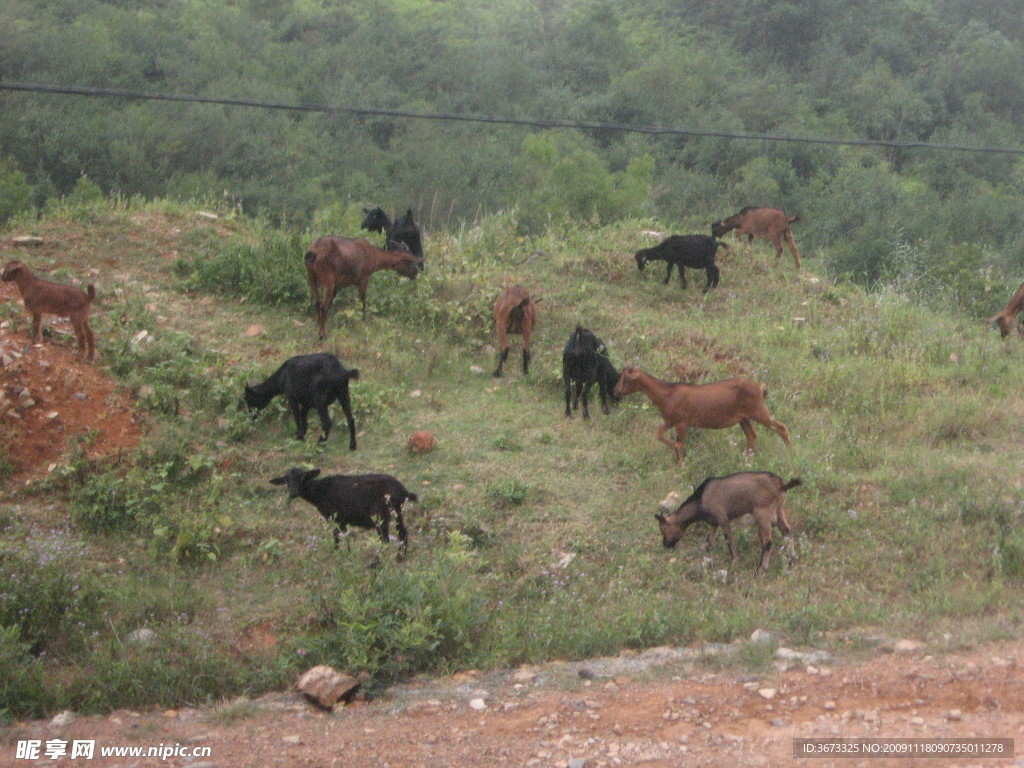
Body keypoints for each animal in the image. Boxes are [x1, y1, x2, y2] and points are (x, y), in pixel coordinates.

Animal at [272, 466, 419, 557]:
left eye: (302, 477)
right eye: (286, 480)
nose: (292, 493)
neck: (319, 491)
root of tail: (403, 491)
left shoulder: (336, 518)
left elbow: (339, 536)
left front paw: (340, 554)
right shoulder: (342, 520)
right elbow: (343, 536)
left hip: (381, 515)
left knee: (385, 540)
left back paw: (377, 564)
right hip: (396, 512)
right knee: (403, 532)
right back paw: (400, 557)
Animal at [606, 364, 790, 462]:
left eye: (626, 379)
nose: (615, 391)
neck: (666, 394)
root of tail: (760, 388)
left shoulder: (681, 422)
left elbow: (679, 442)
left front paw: (681, 463)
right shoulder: (671, 421)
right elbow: (658, 434)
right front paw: (679, 459)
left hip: (758, 411)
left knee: (781, 427)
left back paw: (791, 452)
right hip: (743, 418)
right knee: (752, 436)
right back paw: (748, 459)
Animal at [655, 475, 798, 577]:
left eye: (664, 530)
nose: (666, 544)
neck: (700, 500)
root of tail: (782, 485)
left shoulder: (722, 517)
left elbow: (729, 539)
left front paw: (734, 561)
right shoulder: (714, 521)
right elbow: (710, 538)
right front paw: (705, 549)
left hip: (763, 514)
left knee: (767, 542)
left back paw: (761, 568)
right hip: (778, 511)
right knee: (788, 532)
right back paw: (790, 559)